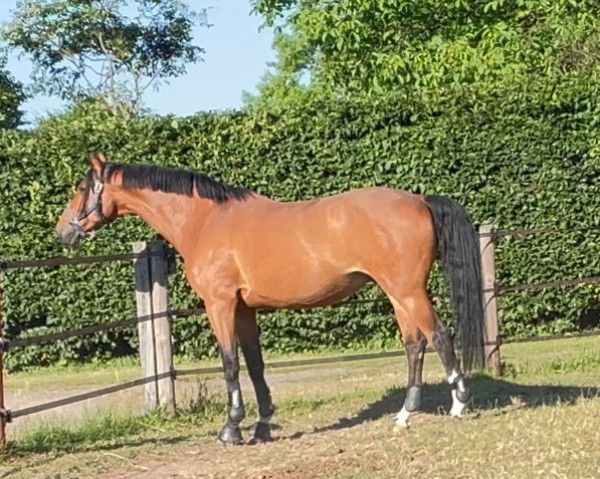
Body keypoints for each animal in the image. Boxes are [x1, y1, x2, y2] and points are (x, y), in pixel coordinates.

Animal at [56, 154, 486, 446]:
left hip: (408, 291)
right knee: (414, 345)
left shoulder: (221, 305)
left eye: (82, 187)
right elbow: (255, 365)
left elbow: (230, 363)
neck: (205, 221)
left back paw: (459, 405)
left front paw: (231, 428)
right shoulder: (245, 309)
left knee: (439, 336)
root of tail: (420, 200)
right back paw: (404, 415)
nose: (63, 231)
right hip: (398, 294)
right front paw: (262, 425)